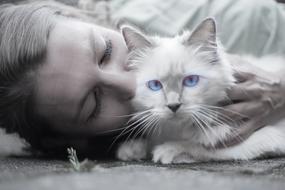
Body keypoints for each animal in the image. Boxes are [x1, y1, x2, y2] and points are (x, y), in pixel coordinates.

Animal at [115, 18, 284, 163]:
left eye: (191, 81)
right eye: (155, 85)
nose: (173, 106)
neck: (175, 130)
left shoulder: (264, 137)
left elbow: (203, 147)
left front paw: (168, 150)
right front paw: (131, 149)